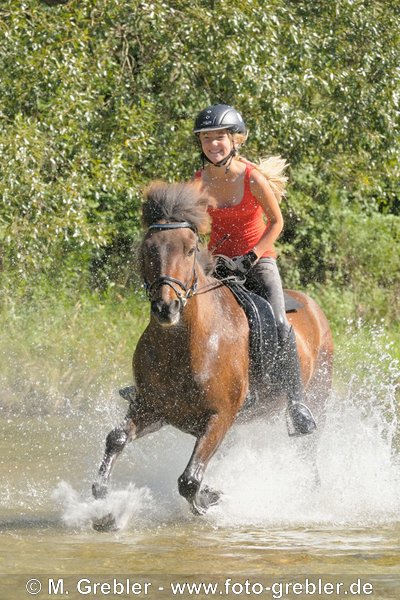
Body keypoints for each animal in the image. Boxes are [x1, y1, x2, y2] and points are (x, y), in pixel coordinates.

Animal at [92, 179, 332, 524]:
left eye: (190, 249)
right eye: (148, 248)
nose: (166, 308)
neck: (185, 345)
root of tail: (313, 306)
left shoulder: (220, 416)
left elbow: (189, 480)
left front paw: (211, 498)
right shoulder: (153, 408)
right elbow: (117, 438)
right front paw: (102, 503)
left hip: (318, 397)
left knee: (309, 450)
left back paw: (308, 492)